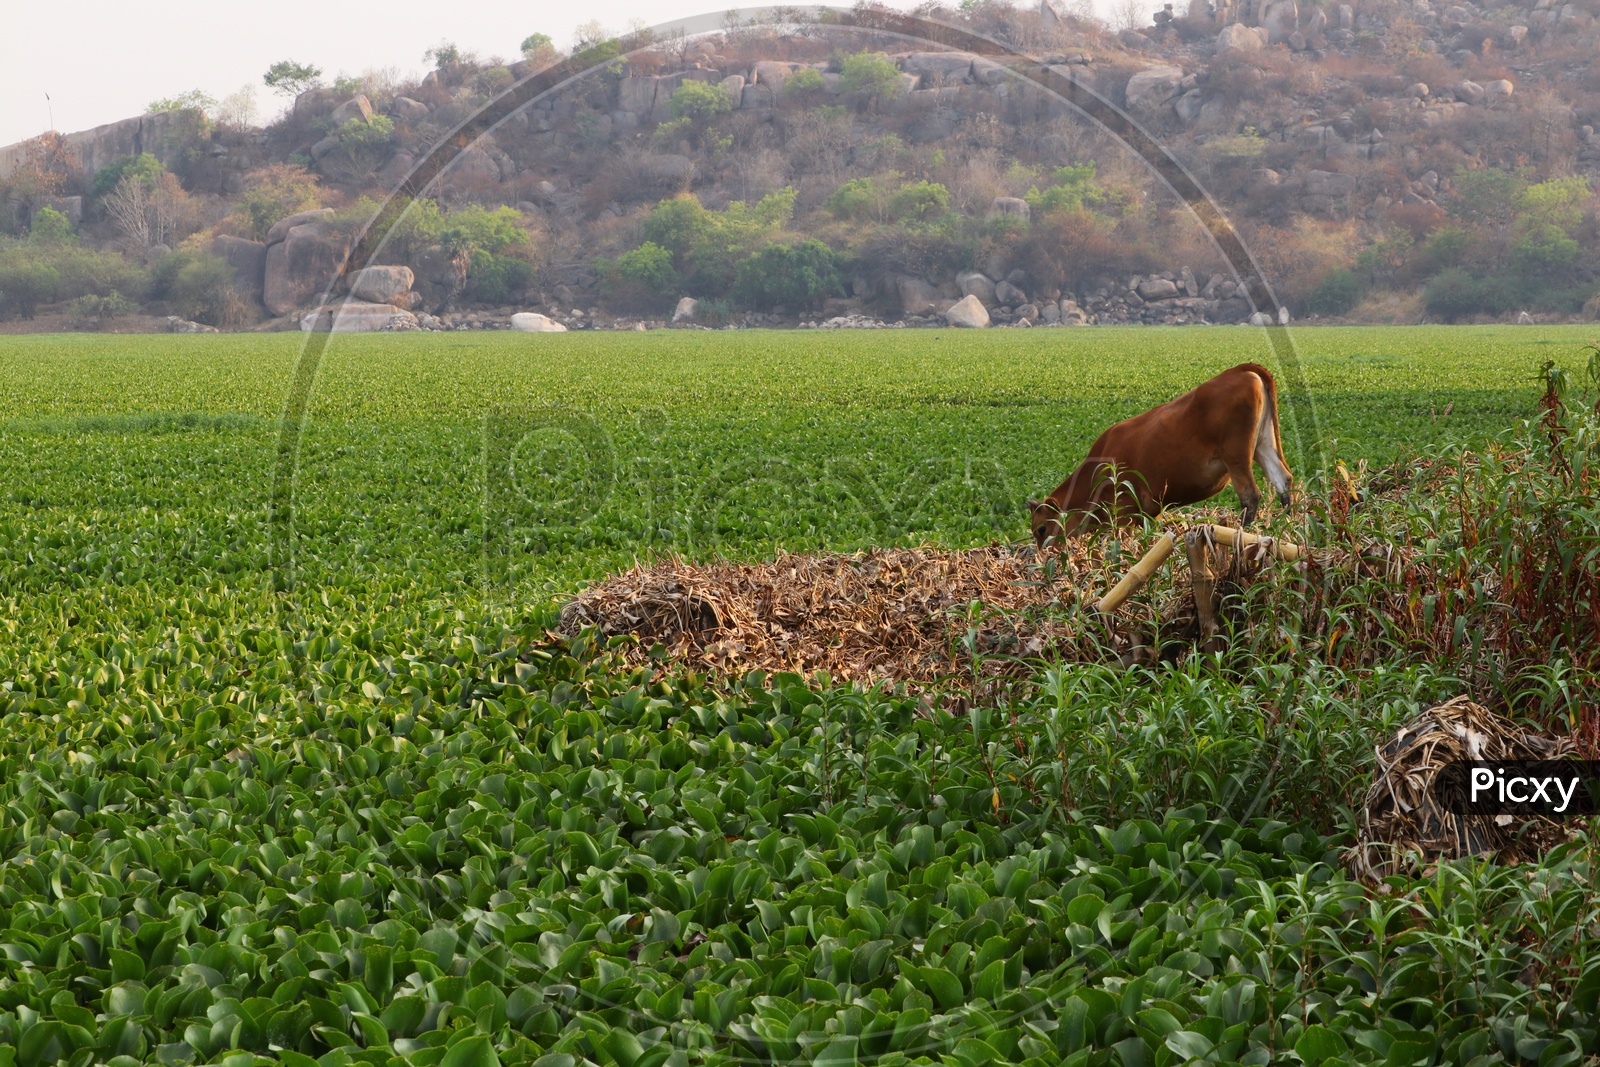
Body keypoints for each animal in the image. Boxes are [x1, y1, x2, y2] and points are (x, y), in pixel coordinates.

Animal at [1027, 362, 1293, 546]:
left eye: (1041, 529)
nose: (1044, 558)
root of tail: (1239, 370)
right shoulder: (1148, 512)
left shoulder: (1123, 513)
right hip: (1264, 444)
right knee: (1283, 481)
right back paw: (1287, 528)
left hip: (1236, 455)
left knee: (1250, 495)